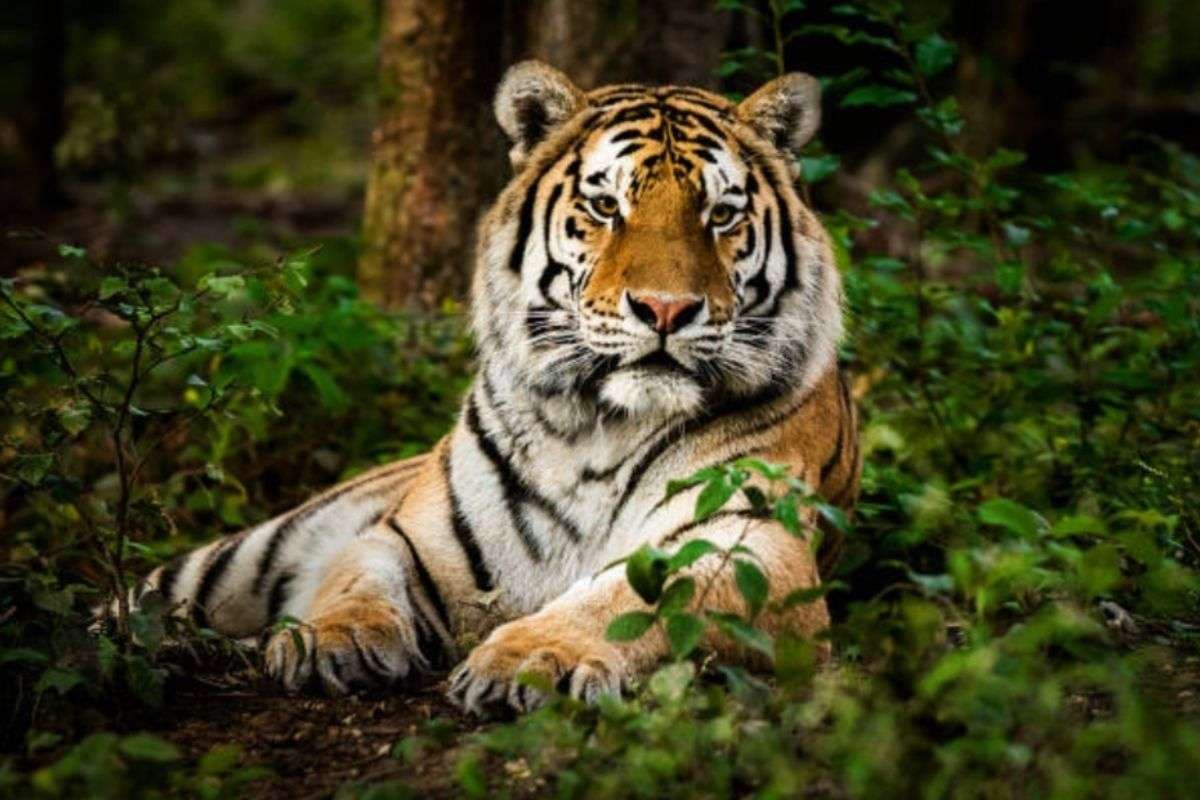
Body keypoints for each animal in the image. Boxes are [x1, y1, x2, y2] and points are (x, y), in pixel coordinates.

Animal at [111, 61, 860, 715]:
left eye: (721, 214)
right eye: (605, 205)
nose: (666, 309)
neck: (599, 426)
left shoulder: (751, 546)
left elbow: (630, 600)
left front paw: (531, 660)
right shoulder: (408, 536)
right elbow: (356, 576)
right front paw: (331, 639)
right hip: (238, 558)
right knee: (132, 599)